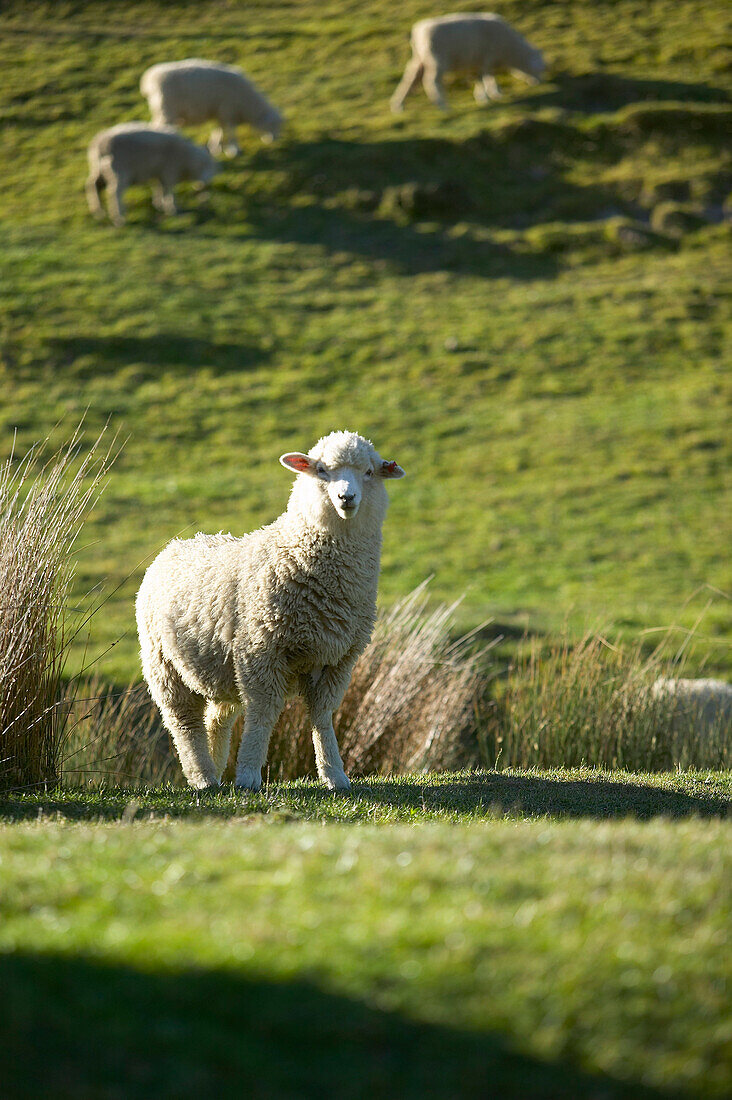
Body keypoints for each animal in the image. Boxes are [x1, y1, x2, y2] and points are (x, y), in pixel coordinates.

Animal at [85, 122, 216, 225]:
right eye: (207, 165)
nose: (205, 185)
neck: (187, 158)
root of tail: (101, 144)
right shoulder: (169, 171)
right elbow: (169, 191)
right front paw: (172, 209)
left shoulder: (157, 172)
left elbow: (158, 187)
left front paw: (158, 204)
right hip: (120, 171)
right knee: (114, 193)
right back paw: (119, 217)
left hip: (97, 168)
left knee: (93, 185)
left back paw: (98, 211)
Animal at [135, 429, 405, 792]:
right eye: (321, 470)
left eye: (369, 472)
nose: (346, 497)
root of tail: (178, 543)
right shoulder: (260, 651)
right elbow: (263, 714)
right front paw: (249, 775)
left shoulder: (338, 660)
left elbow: (323, 717)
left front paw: (335, 774)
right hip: (162, 663)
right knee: (185, 722)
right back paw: (203, 776)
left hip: (221, 669)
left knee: (217, 717)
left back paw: (216, 768)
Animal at [140, 59, 283, 157]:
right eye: (273, 124)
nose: (276, 139)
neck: (247, 102)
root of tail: (149, 79)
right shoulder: (228, 110)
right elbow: (231, 131)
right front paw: (234, 150)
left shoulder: (219, 113)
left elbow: (218, 130)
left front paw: (215, 147)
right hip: (166, 110)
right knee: (158, 128)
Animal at [387, 12, 541, 112]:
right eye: (540, 67)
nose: (538, 82)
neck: (511, 50)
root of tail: (418, 33)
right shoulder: (487, 58)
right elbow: (487, 77)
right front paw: (492, 94)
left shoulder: (477, 61)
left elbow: (480, 78)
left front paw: (484, 96)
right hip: (437, 59)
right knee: (431, 81)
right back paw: (443, 106)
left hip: (420, 58)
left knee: (410, 77)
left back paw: (398, 105)